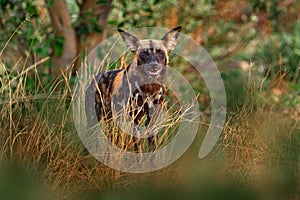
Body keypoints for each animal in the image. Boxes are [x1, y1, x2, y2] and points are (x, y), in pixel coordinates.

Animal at [85, 25, 182, 162]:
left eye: (160, 52)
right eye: (144, 53)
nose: (153, 65)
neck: (149, 88)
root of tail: (95, 79)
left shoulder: (151, 121)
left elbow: (153, 151)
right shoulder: (134, 120)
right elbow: (138, 149)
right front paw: (139, 164)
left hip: (112, 123)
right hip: (95, 121)